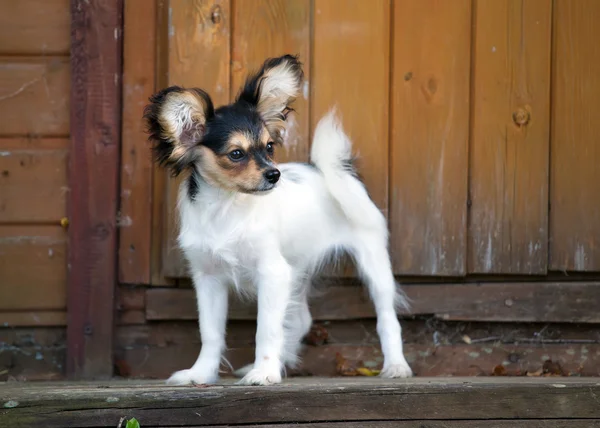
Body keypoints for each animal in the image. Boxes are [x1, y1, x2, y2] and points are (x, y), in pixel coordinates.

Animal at [144, 55, 412, 386]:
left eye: (269, 147)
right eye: (236, 154)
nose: (274, 174)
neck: (227, 206)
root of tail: (336, 172)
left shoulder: (272, 273)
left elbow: (266, 330)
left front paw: (263, 373)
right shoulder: (209, 278)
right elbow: (210, 333)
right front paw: (201, 373)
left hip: (373, 262)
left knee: (387, 318)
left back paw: (396, 366)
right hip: (296, 270)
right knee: (299, 321)